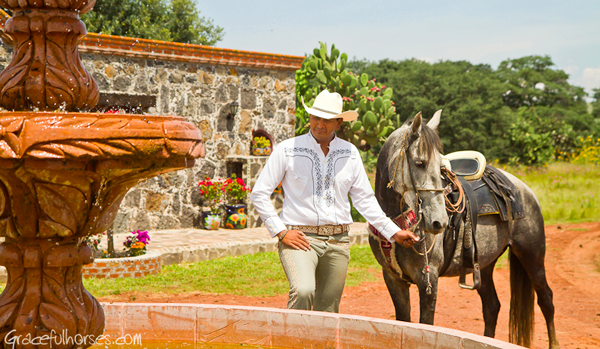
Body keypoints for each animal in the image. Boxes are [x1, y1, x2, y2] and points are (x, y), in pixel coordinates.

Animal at [370, 111, 564, 348]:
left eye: (440, 166)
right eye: (419, 163)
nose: (439, 222)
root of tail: (524, 190)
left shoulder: (428, 280)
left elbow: (425, 325)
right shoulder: (393, 278)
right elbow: (403, 322)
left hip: (532, 256)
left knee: (546, 300)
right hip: (485, 264)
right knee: (492, 307)